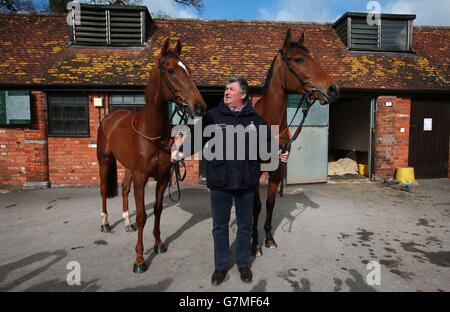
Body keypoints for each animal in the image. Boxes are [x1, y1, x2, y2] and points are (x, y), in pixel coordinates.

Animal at [97, 38, 207, 272]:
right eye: (171, 70)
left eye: (188, 69)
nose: (200, 106)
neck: (151, 132)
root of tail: (109, 118)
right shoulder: (141, 178)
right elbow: (142, 216)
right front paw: (139, 259)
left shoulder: (163, 178)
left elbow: (157, 210)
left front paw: (158, 244)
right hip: (105, 161)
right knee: (103, 190)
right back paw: (105, 223)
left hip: (128, 167)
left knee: (124, 189)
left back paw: (126, 223)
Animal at [251, 29, 340, 258]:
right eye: (298, 59)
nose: (333, 88)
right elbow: (255, 206)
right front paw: (254, 244)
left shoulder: (277, 171)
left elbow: (270, 204)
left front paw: (269, 239)